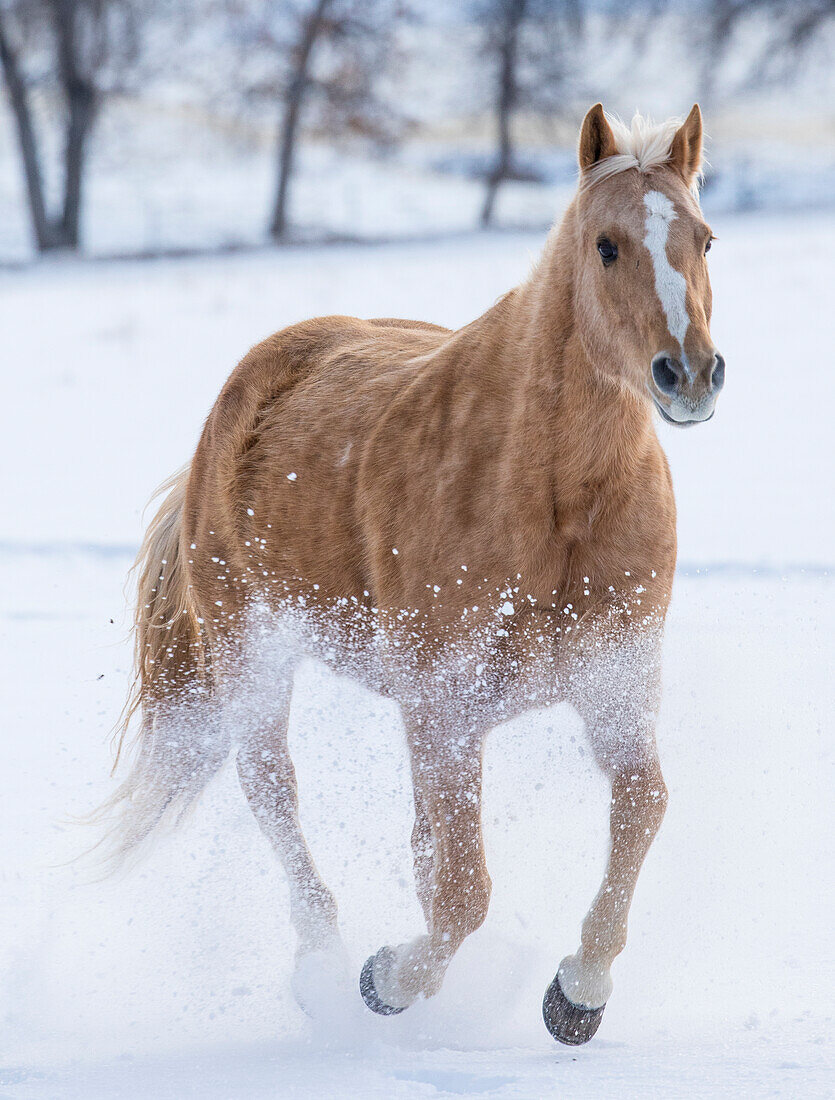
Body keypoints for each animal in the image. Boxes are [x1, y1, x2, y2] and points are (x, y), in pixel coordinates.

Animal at [104, 105, 726, 1047]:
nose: (687, 375)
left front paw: (576, 994)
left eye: (704, 238)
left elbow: (639, 809)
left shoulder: (612, 686)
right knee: (274, 793)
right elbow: (463, 890)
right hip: (254, 660)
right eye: (606, 245)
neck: (555, 501)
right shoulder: (443, 707)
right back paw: (325, 965)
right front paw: (386, 981)